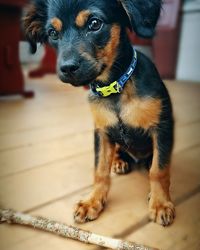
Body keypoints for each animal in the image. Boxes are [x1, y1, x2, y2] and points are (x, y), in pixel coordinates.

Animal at [23, 0, 175, 227]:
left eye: (95, 24)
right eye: (52, 33)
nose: (67, 68)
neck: (115, 88)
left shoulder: (162, 128)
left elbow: (159, 170)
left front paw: (160, 203)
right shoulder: (102, 132)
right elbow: (100, 171)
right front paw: (92, 201)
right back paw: (119, 161)